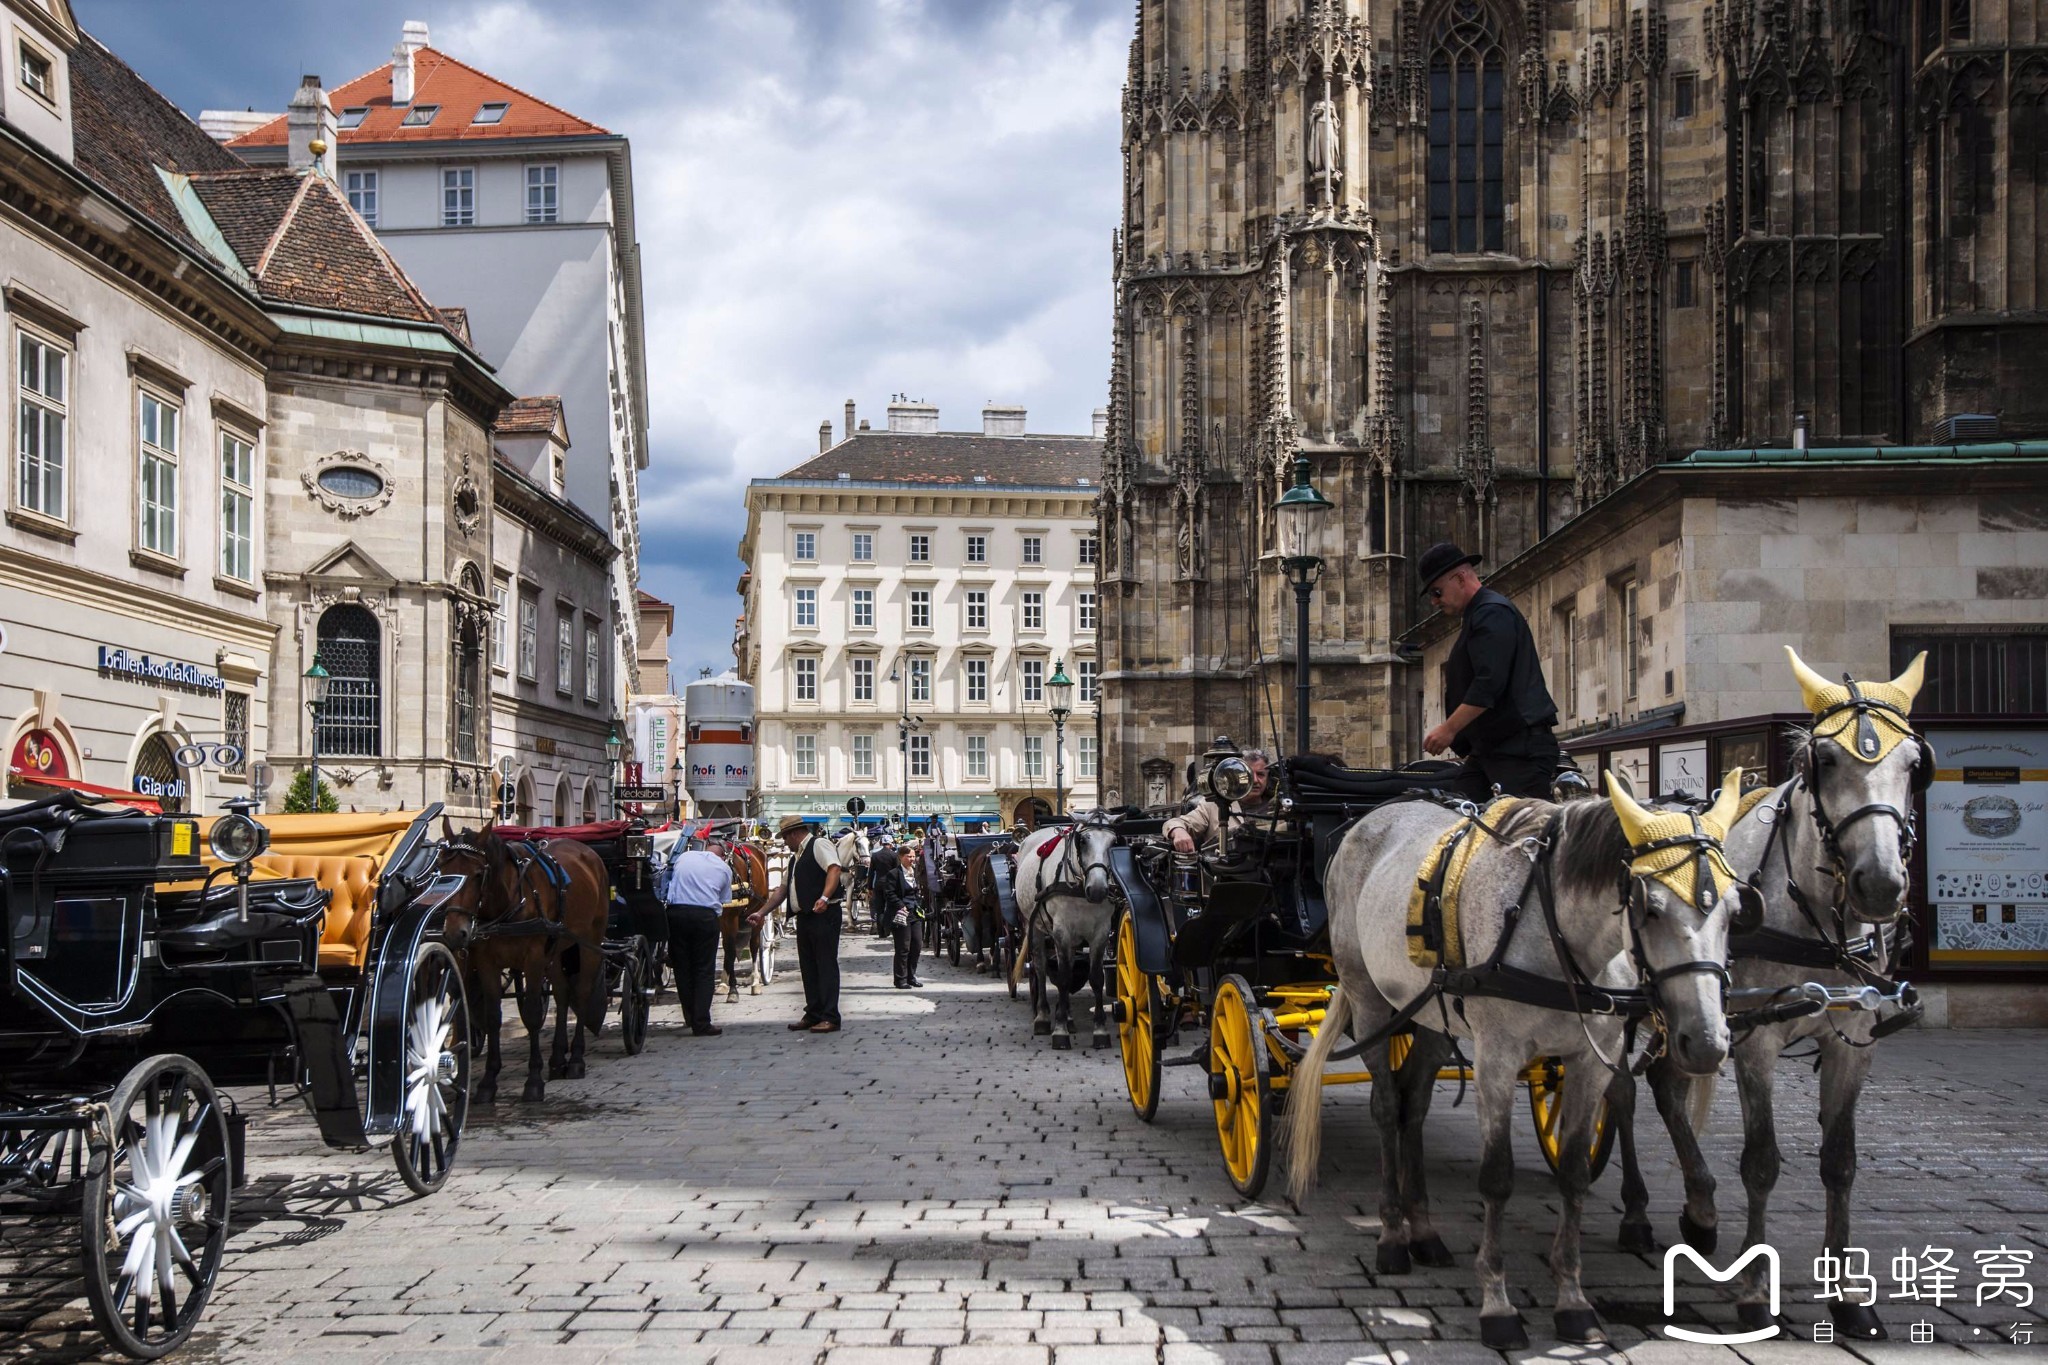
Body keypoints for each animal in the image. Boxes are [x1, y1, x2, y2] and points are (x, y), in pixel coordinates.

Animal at [440, 826, 606, 1105]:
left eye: (477, 874)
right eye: (443, 873)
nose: (455, 933)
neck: (508, 903)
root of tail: (587, 851)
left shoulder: (534, 959)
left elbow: (531, 1015)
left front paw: (534, 1081)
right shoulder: (487, 963)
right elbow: (492, 1017)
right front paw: (488, 1082)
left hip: (590, 940)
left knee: (581, 992)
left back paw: (575, 1060)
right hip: (556, 948)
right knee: (562, 994)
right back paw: (557, 1059)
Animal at [1011, 818, 1122, 1055]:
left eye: (1113, 842)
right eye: (1083, 840)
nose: (1098, 889)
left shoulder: (1101, 932)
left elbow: (1095, 978)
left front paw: (1100, 1030)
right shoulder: (1061, 930)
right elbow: (1061, 978)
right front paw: (1059, 1032)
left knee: (1069, 966)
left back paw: (1069, 1017)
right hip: (1034, 926)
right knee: (1041, 967)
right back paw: (1043, 1017)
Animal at [1294, 773, 1744, 1350]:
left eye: (1736, 911)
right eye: (1651, 908)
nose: (1706, 1043)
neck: (1562, 935)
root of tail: (1367, 818)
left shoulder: (1591, 1060)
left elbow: (1574, 1173)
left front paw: (1572, 1300)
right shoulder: (1496, 1058)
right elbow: (1497, 1177)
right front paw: (1497, 1305)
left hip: (1432, 1010)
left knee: (1412, 1104)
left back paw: (1424, 1231)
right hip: (1369, 998)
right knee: (1386, 1108)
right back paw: (1393, 1236)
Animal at [1613, 650, 1933, 1342]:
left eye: (1914, 765)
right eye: (1825, 761)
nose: (1879, 885)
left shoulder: (1853, 1041)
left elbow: (1840, 1160)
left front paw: (1849, 1297)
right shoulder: (1755, 1038)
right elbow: (1761, 1159)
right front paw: (1756, 1290)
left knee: (1668, 1090)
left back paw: (1700, 1211)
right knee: (1621, 1094)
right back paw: (1638, 1211)